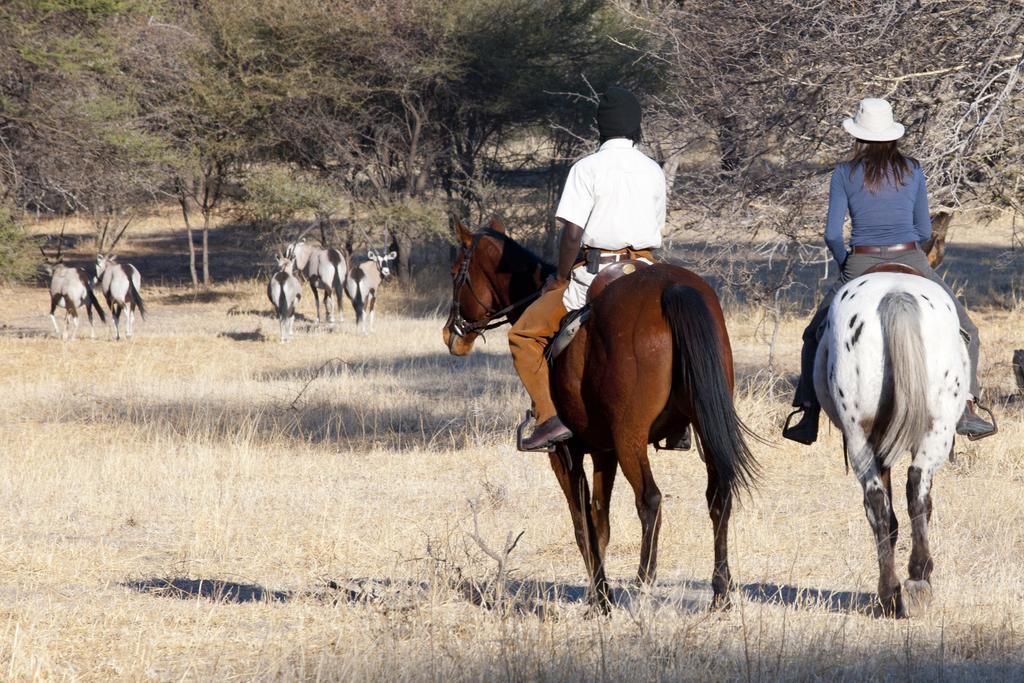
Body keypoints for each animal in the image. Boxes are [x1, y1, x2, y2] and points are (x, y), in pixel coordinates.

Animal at [442, 218, 761, 610]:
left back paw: (643, 587)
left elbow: (582, 523)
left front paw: (602, 599)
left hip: (630, 438)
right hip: (703, 427)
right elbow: (601, 520)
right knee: (718, 497)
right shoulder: (603, 452)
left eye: (457, 272)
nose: (451, 334)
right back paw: (720, 594)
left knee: (650, 500)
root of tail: (672, 287)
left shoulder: (566, 454)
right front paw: (599, 594)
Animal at [815, 264, 974, 618]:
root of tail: (895, 294)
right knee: (915, 489)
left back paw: (892, 590)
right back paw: (916, 578)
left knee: (879, 502)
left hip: (862, 435)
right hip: (933, 430)